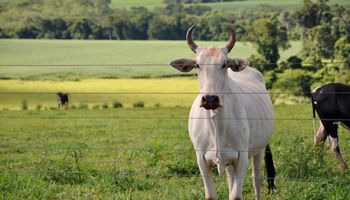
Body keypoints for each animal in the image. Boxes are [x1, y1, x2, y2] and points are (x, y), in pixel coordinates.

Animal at [170, 25, 276, 200]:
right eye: (198, 65)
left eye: (224, 64)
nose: (210, 99)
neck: (216, 124)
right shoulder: (201, 158)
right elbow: (212, 194)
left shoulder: (241, 157)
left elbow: (236, 195)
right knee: (230, 179)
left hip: (259, 150)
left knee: (256, 180)